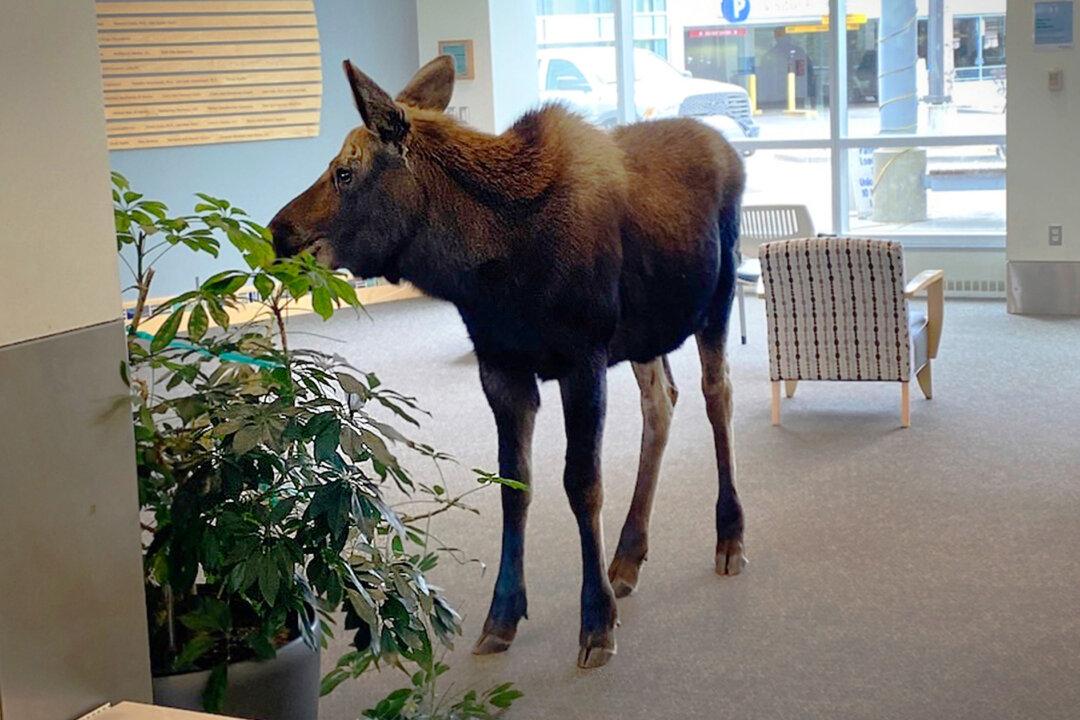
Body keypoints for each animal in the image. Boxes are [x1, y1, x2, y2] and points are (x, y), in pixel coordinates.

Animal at [269, 55, 747, 669]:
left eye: (345, 173)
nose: (278, 231)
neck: (490, 270)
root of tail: (728, 147)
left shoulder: (583, 359)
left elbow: (582, 483)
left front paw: (596, 622)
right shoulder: (501, 369)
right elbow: (512, 484)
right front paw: (502, 616)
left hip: (717, 295)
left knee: (718, 395)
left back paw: (729, 535)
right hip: (646, 334)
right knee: (661, 403)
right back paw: (627, 556)